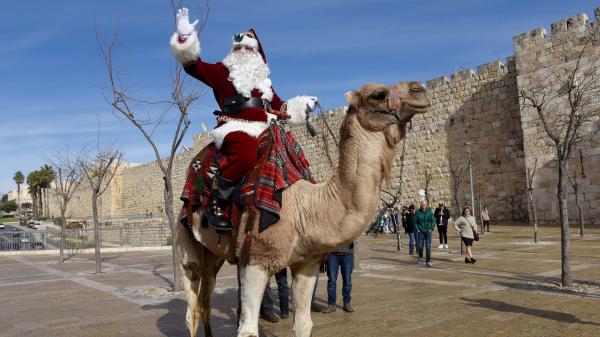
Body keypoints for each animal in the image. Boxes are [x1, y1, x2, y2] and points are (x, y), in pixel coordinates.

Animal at [175, 81, 432, 336]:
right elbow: (248, 329)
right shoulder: (256, 260)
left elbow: (303, 324)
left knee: (205, 300)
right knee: (191, 307)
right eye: (378, 94)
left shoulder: (307, 263)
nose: (420, 89)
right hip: (186, 238)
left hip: (215, 254)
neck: (307, 207)